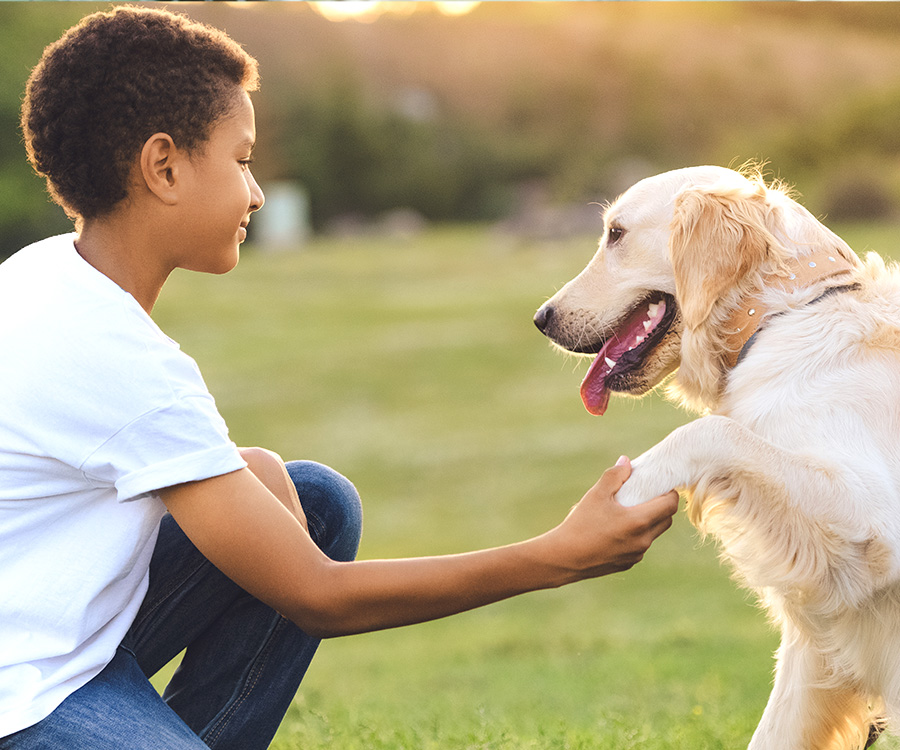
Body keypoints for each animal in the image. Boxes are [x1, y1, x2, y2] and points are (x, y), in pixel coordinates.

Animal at [532, 167, 900, 748]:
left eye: (616, 234)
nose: (541, 318)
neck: (779, 315)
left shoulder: (875, 522)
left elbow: (711, 430)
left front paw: (623, 493)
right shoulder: (818, 644)